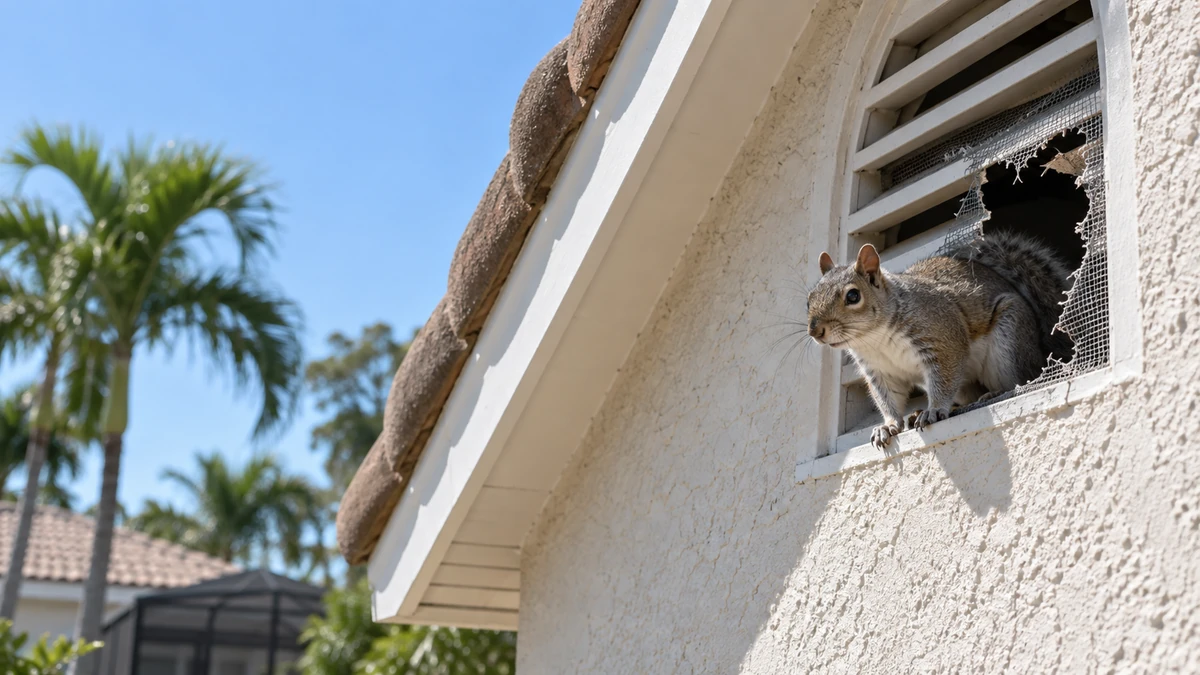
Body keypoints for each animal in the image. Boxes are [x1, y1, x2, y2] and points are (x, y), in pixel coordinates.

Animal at [806, 230, 1071, 450]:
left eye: (853, 296)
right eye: (809, 299)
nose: (815, 331)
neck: (875, 339)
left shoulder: (943, 340)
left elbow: (943, 378)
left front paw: (933, 411)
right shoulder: (879, 371)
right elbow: (888, 398)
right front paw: (887, 426)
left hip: (1009, 343)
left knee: (1020, 380)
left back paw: (993, 394)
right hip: (966, 384)